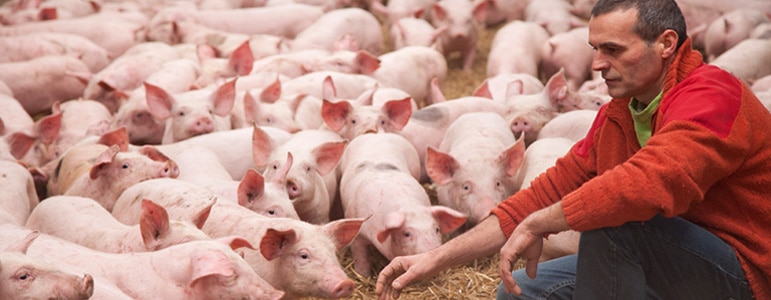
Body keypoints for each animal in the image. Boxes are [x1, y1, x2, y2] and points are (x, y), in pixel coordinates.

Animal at [340, 132, 470, 276]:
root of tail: (378, 134)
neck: (407, 206)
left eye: (436, 229)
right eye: (407, 234)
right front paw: (363, 275)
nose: (432, 250)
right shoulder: (357, 231)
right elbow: (360, 256)